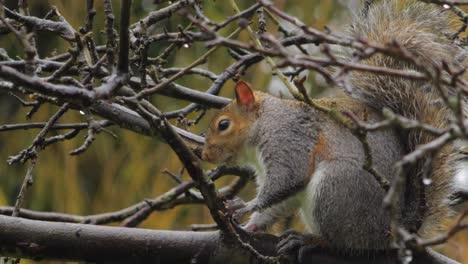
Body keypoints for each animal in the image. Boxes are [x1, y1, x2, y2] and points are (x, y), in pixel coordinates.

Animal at [201, 0, 464, 256]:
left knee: (343, 242)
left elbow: (288, 178)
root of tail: (391, 232)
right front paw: (251, 225)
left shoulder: (288, 139)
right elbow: (280, 201)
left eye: (223, 125)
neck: (265, 122)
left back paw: (310, 240)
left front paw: (243, 206)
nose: (204, 155)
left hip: (335, 188)